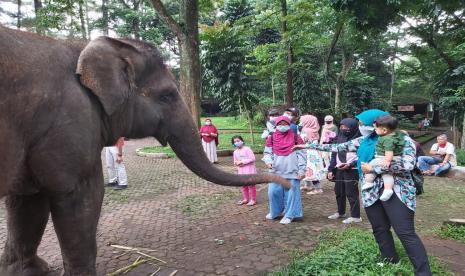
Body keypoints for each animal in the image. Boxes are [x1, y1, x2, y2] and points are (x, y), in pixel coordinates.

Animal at [0, 24, 288, 274]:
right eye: (167, 95)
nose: (285, 183)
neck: (81, 46)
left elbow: (29, 201)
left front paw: (28, 270)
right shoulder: (68, 126)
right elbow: (78, 196)